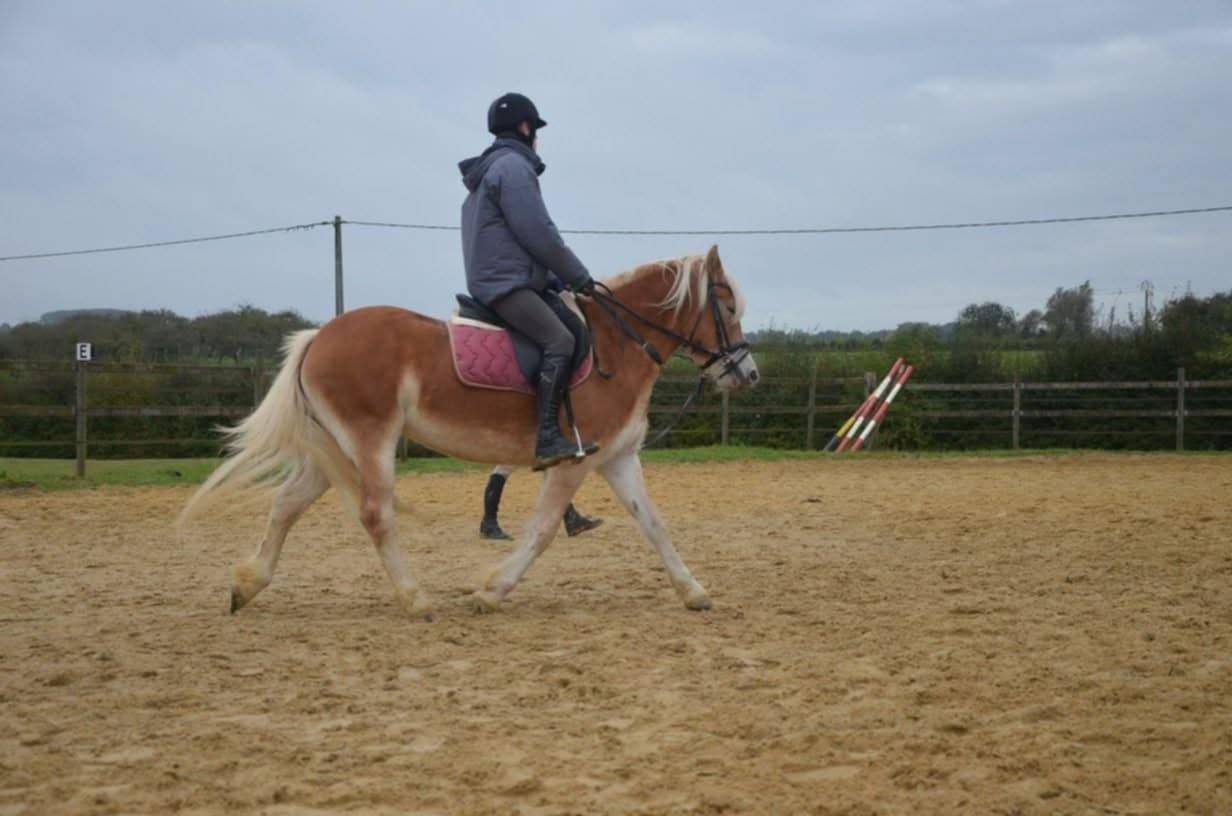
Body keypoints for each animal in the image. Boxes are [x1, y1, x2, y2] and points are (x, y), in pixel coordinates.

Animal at [178, 245, 759, 620]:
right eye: (728, 306)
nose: (747, 375)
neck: (615, 346)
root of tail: (319, 337)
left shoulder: (616, 458)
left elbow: (653, 524)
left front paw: (693, 592)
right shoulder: (575, 460)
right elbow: (542, 530)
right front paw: (492, 591)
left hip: (333, 451)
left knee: (286, 504)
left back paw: (248, 585)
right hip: (370, 442)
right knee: (374, 514)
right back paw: (415, 599)